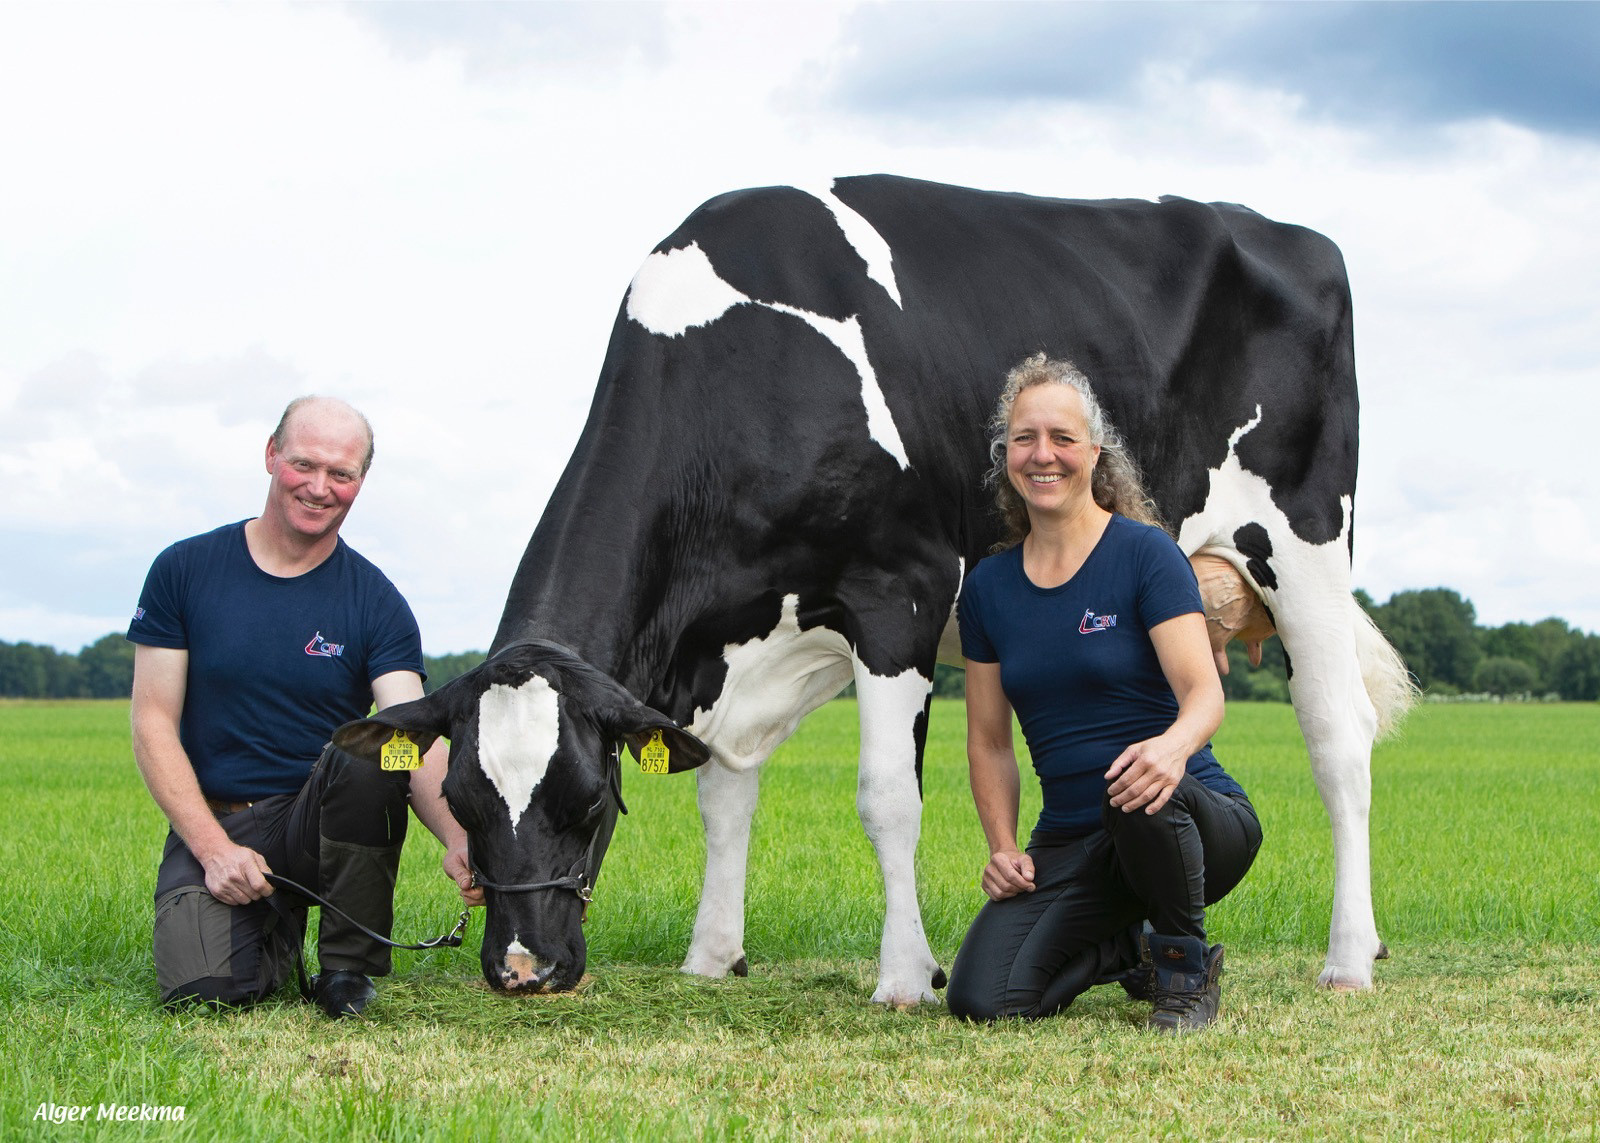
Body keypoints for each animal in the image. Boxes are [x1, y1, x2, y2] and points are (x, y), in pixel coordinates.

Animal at [337, 173, 1414, 998]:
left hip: (1303, 545)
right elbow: (723, 789)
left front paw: (904, 975)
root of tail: (1286, 232)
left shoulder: (898, 592)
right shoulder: (737, 646)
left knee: (1338, 742)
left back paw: (1348, 959)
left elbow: (887, 797)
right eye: (461, 803)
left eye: (590, 801)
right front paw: (710, 955)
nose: (523, 968)